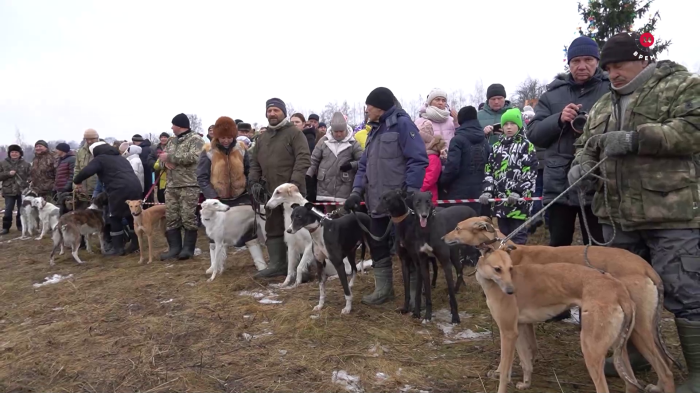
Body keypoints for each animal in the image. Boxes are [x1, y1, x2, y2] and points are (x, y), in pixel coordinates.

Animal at [446, 214, 676, 392]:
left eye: (457, 228)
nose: (442, 237)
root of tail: (646, 267)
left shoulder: (511, 326)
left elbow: (513, 360)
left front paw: (501, 373)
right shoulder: (524, 323)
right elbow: (529, 352)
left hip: (635, 332)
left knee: (665, 371)